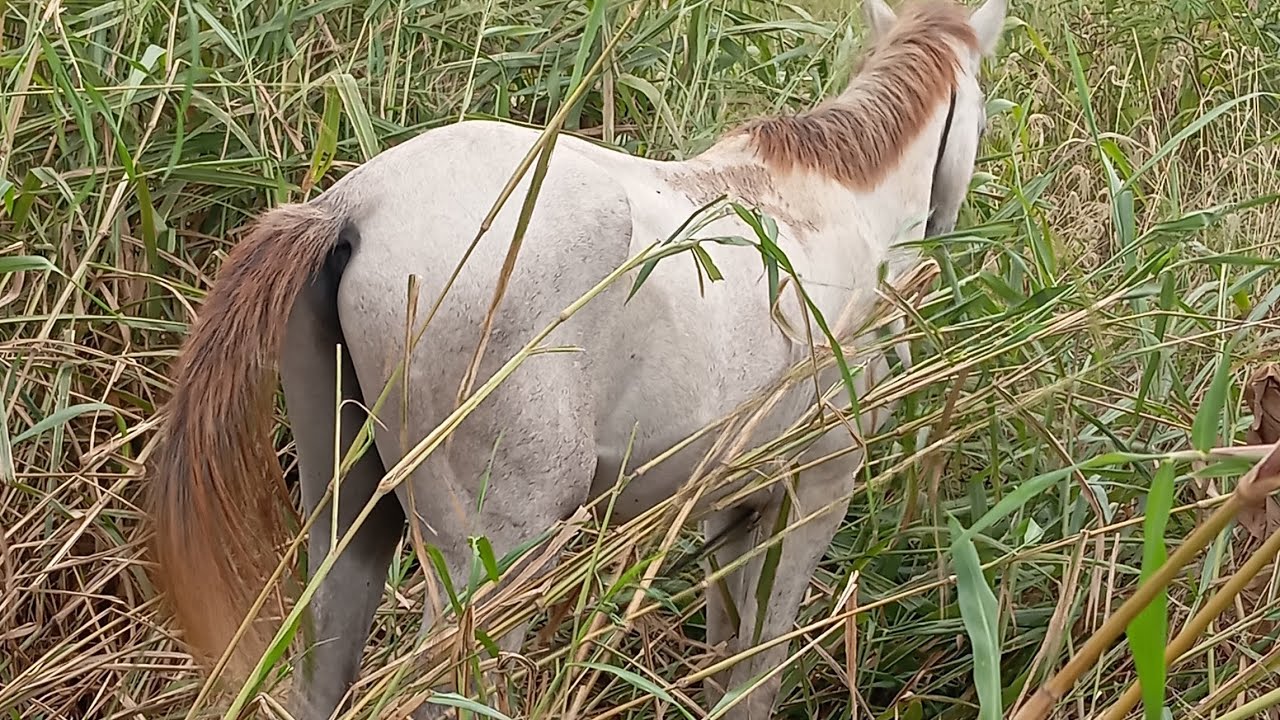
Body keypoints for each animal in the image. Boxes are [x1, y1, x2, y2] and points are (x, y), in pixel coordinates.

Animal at [146, 0, 1006, 717]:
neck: (836, 208)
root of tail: (353, 206)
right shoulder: (813, 493)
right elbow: (757, 670)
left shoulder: (729, 504)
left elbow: (724, 653)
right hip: (497, 565)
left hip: (346, 522)